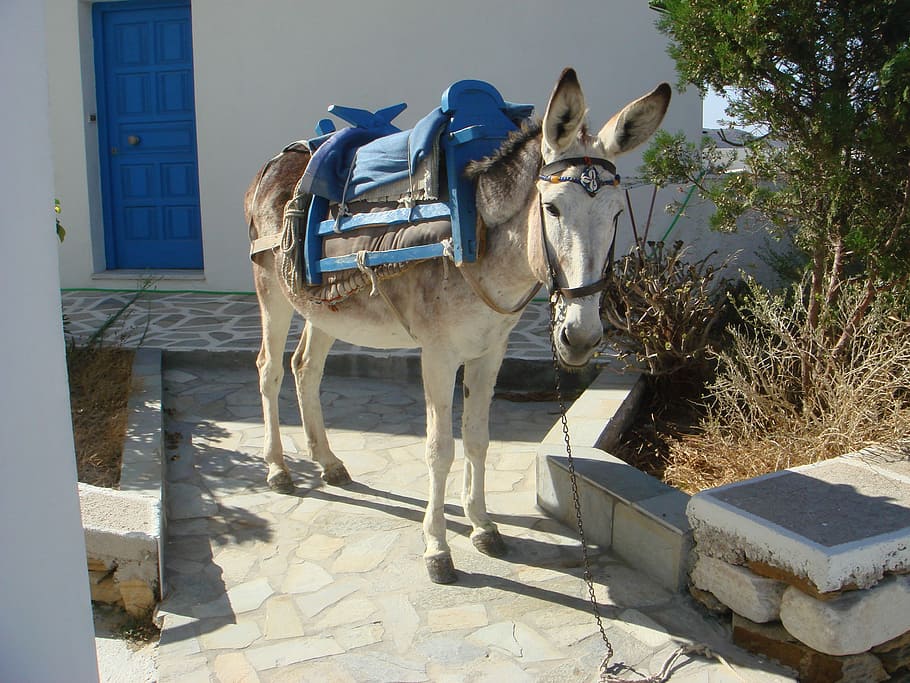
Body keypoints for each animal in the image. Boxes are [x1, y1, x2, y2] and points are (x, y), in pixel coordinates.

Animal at [245, 68, 670, 584]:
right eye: (552, 209)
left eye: (615, 214)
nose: (582, 338)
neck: (479, 237)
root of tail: (278, 160)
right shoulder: (438, 356)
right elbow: (439, 448)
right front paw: (437, 549)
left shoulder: (490, 352)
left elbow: (478, 438)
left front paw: (483, 526)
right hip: (271, 290)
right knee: (269, 369)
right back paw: (278, 470)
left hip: (323, 307)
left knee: (305, 368)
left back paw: (328, 463)